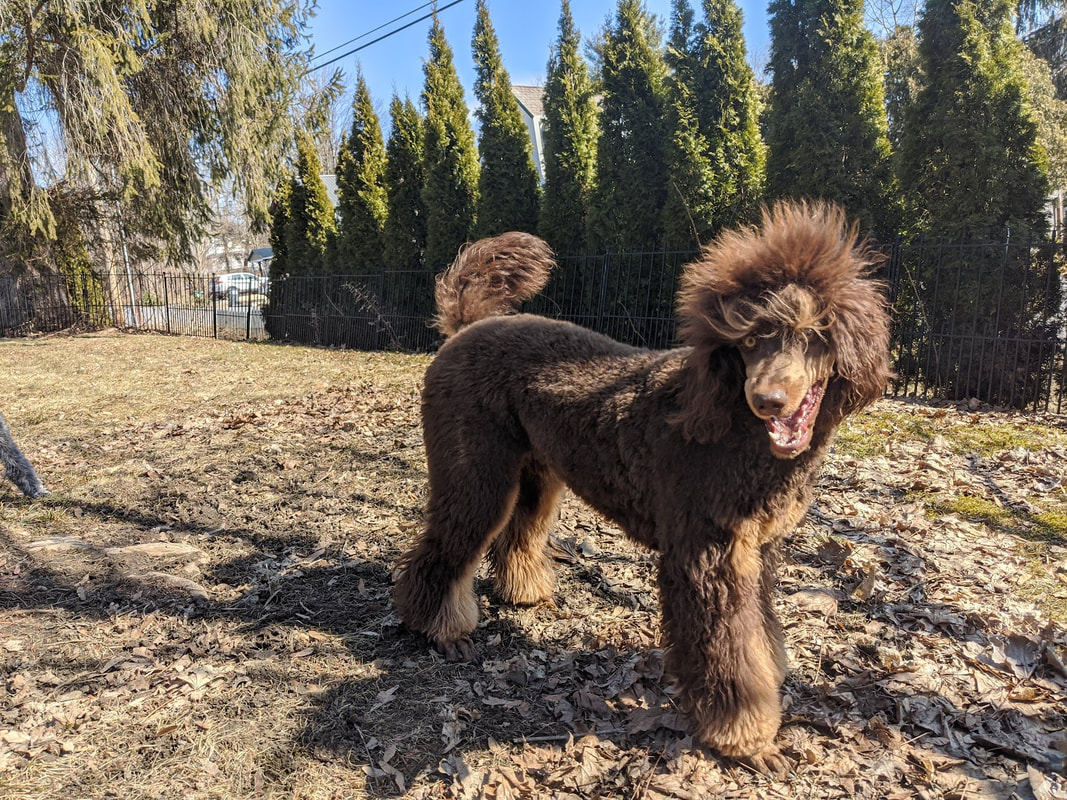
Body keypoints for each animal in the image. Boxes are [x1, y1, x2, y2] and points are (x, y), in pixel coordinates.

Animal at [394, 201, 891, 773]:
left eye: (814, 335)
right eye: (747, 341)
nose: (767, 400)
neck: (732, 425)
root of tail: (469, 326)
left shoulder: (755, 548)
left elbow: (759, 630)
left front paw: (770, 676)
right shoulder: (705, 556)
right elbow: (727, 652)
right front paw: (744, 736)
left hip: (536, 472)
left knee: (518, 533)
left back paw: (526, 593)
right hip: (477, 470)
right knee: (449, 545)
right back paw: (441, 631)